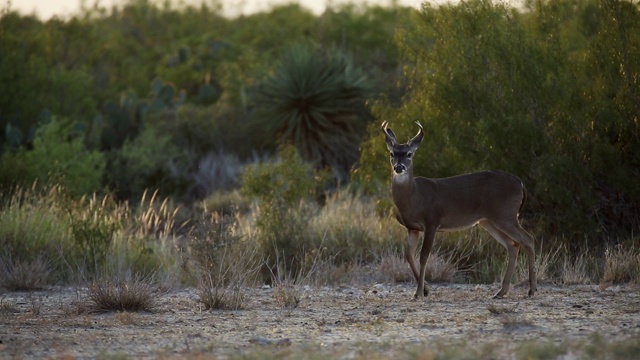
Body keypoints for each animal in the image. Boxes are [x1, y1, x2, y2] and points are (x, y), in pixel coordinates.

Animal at [382, 122, 536, 300]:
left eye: (409, 154)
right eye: (392, 153)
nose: (399, 167)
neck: (414, 198)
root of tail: (521, 184)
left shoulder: (432, 221)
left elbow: (424, 256)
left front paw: (419, 292)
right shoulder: (412, 228)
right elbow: (409, 255)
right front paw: (425, 290)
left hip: (505, 215)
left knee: (528, 239)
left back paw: (531, 289)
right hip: (489, 221)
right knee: (513, 245)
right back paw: (501, 291)